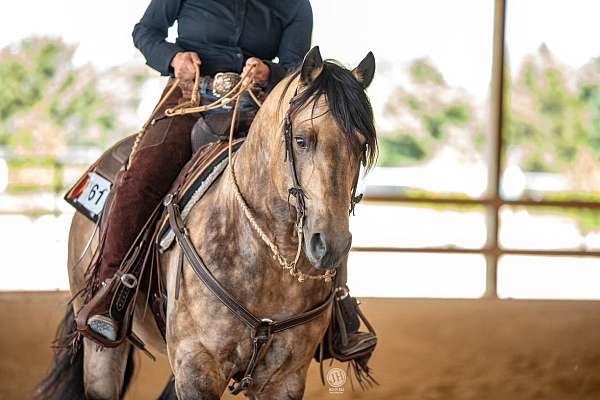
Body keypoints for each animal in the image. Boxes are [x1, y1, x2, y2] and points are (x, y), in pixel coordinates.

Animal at [37, 47, 378, 400]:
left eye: (362, 145)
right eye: (300, 139)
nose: (330, 245)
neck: (265, 256)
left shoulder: (285, 378)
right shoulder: (196, 366)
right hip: (103, 355)